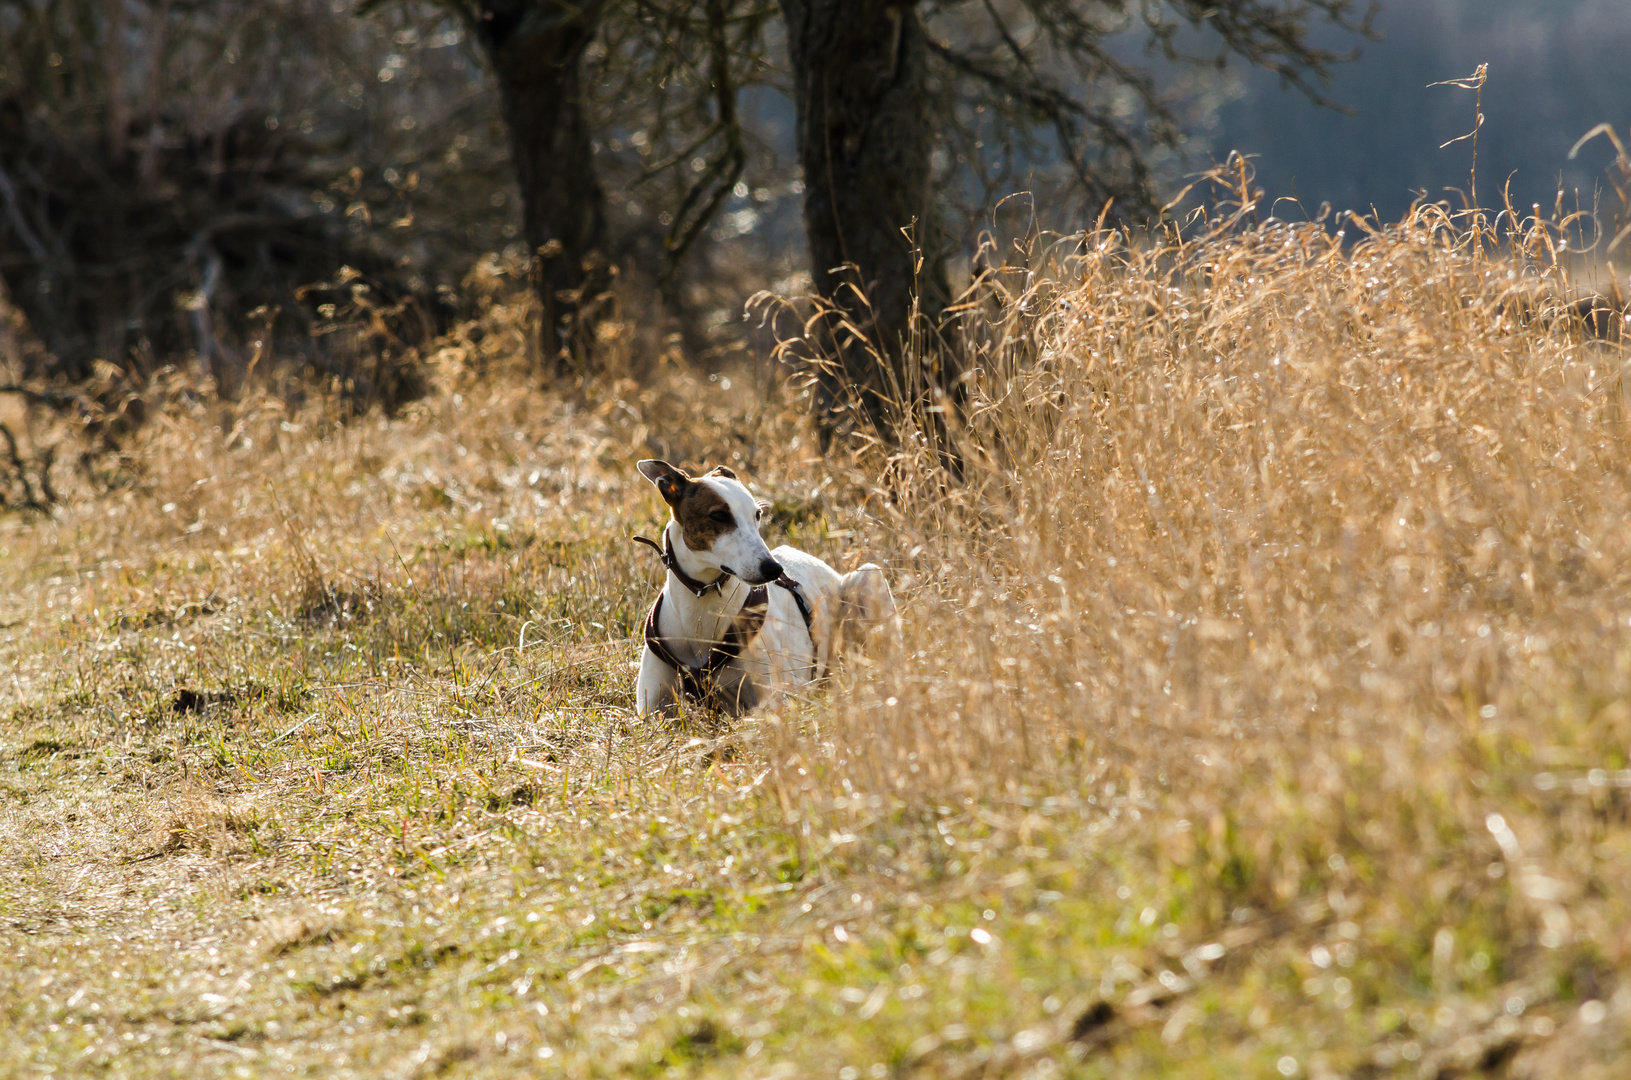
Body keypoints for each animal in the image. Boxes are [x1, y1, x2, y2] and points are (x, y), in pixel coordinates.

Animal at [629, 460, 900, 717]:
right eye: (718, 515)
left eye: (757, 514)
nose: (774, 569)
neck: (700, 603)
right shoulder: (651, 711)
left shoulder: (775, 699)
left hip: (868, 578)